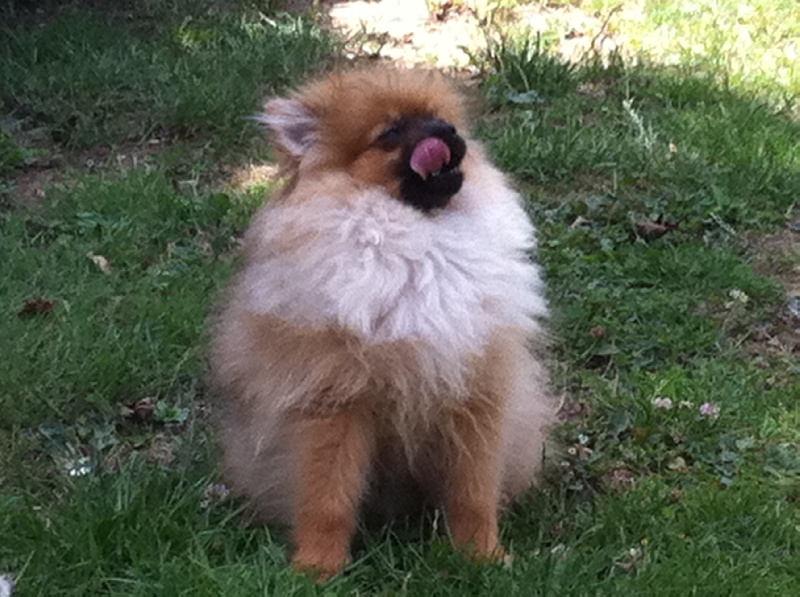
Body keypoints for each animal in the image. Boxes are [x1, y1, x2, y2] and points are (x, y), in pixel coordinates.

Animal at [210, 67, 554, 580]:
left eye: (441, 118)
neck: (421, 241)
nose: (446, 132)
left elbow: (472, 492)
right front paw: (318, 568)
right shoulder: (336, 401)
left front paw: (482, 556)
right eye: (390, 132)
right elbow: (327, 499)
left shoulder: (476, 394)